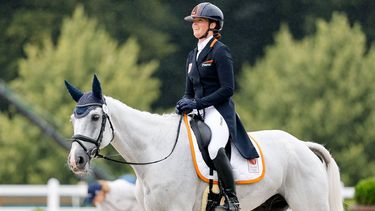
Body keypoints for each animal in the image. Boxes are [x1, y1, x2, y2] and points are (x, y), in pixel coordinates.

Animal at [64, 76, 344, 211]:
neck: (155, 153)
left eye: (95, 117)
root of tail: (303, 146)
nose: (76, 161)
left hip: (309, 204)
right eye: (73, 119)